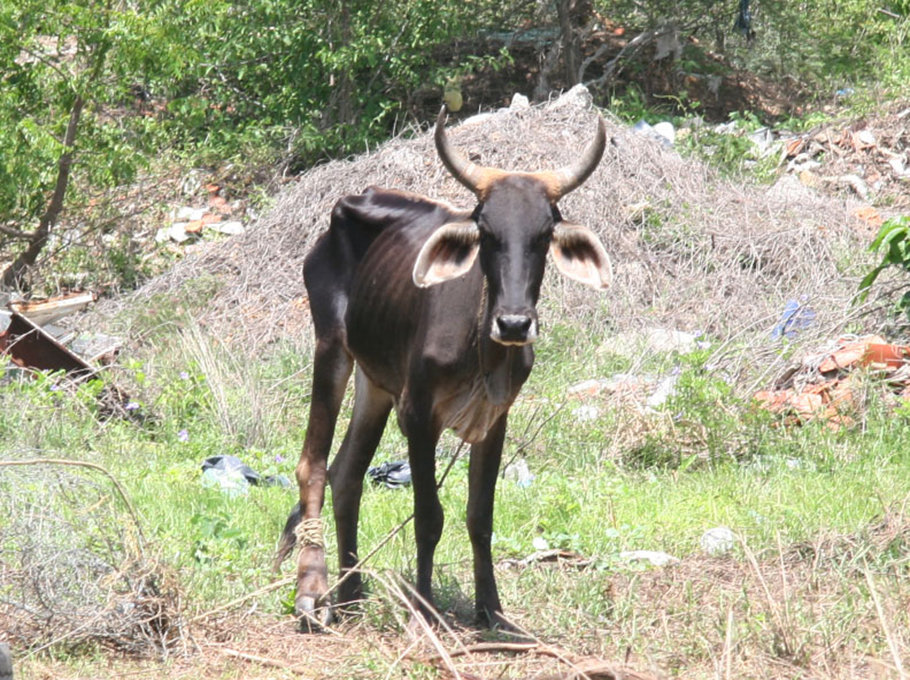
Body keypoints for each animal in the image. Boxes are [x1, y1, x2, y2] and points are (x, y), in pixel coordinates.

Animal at [274, 107, 608, 632]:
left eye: (543, 234)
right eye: (486, 231)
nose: (514, 323)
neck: (482, 347)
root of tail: (348, 204)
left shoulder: (494, 420)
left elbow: (480, 516)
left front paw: (491, 609)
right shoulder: (418, 415)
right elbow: (429, 516)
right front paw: (423, 608)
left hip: (376, 382)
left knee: (347, 474)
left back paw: (351, 594)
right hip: (331, 349)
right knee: (313, 465)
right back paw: (314, 593)